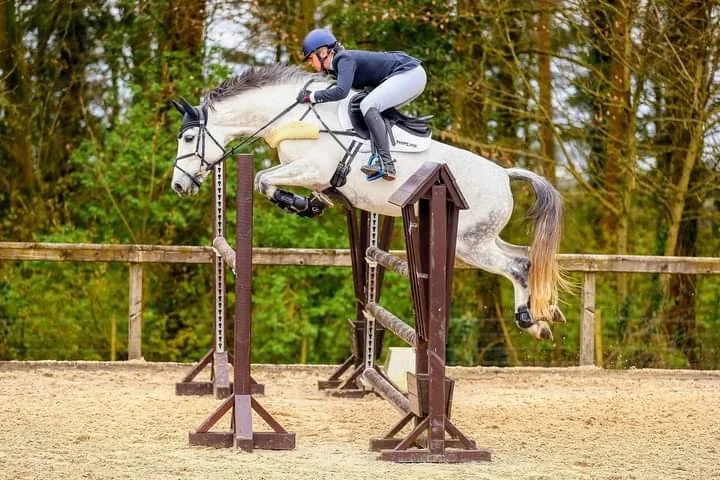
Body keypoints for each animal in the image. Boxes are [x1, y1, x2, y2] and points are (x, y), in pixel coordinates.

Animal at [170, 64, 566, 340]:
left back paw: (529, 321)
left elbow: (262, 179)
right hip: (484, 236)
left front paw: (295, 204)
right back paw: (545, 317)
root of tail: (503, 175)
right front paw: (311, 205)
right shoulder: (312, 174)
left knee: (516, 266)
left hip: (469, 243)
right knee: (526, 257)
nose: (177, 185)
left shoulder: (310, 168)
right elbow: (270, 181)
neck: (292, 115)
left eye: (188, 138)